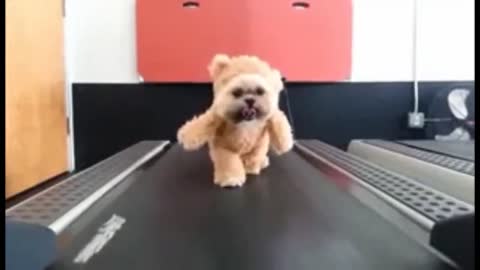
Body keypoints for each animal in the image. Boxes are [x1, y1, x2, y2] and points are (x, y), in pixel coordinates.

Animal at [178, 53, 294, 187]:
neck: (246, 122)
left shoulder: (261, 139)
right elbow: (227, 160)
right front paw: (231, 179)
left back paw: (260, 163)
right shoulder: (221, 138)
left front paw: (250, 169)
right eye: (237, 92)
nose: (250, 100)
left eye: (260, 91)